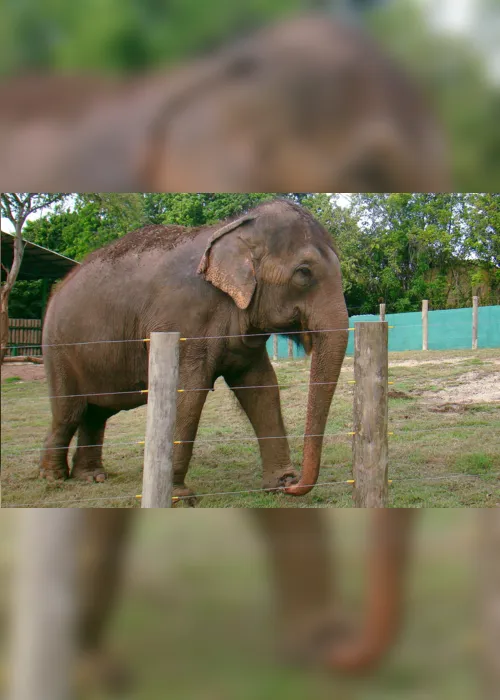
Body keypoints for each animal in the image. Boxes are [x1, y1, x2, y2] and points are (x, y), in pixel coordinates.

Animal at [39, 200, 350, 500]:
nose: (294, 484)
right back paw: (53, 477)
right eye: (304, 273)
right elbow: (187, 393)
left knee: (95, 413)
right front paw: (179, 497)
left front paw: (279, 484)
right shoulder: (181, 321)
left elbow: (262, 388)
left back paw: (92, 476)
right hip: (57, 348)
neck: (231, 228)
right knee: (68, 411)